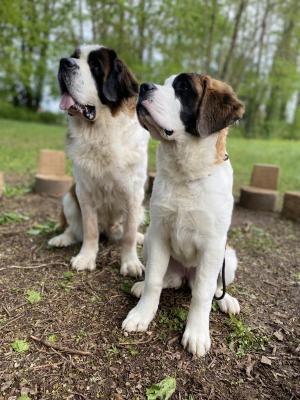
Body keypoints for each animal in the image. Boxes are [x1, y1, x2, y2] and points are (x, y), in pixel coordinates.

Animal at [48, 43, 150, 276]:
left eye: (95, 66)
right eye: (75, 56)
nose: (64, 62)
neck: (101, 131)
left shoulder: (134, 193)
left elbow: (129, 234)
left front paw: (130, 262)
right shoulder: (84, 192)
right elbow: (90, 229)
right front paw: (86, 258)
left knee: (124, 232)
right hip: (69, 197)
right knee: (75, 228)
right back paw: (62, 238)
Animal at [123, 72, 245, 356]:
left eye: (184, 88)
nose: (143, 87)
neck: (185, 175)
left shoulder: (213, 246)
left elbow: (203, 293)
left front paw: (197, 333)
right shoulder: (158, 234)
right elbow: (154, 280)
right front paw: (142, 314)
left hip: (228, 257)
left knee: (215, 287)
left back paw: (227, 300)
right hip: (151, 245)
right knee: (168, 279)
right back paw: (145, 285)